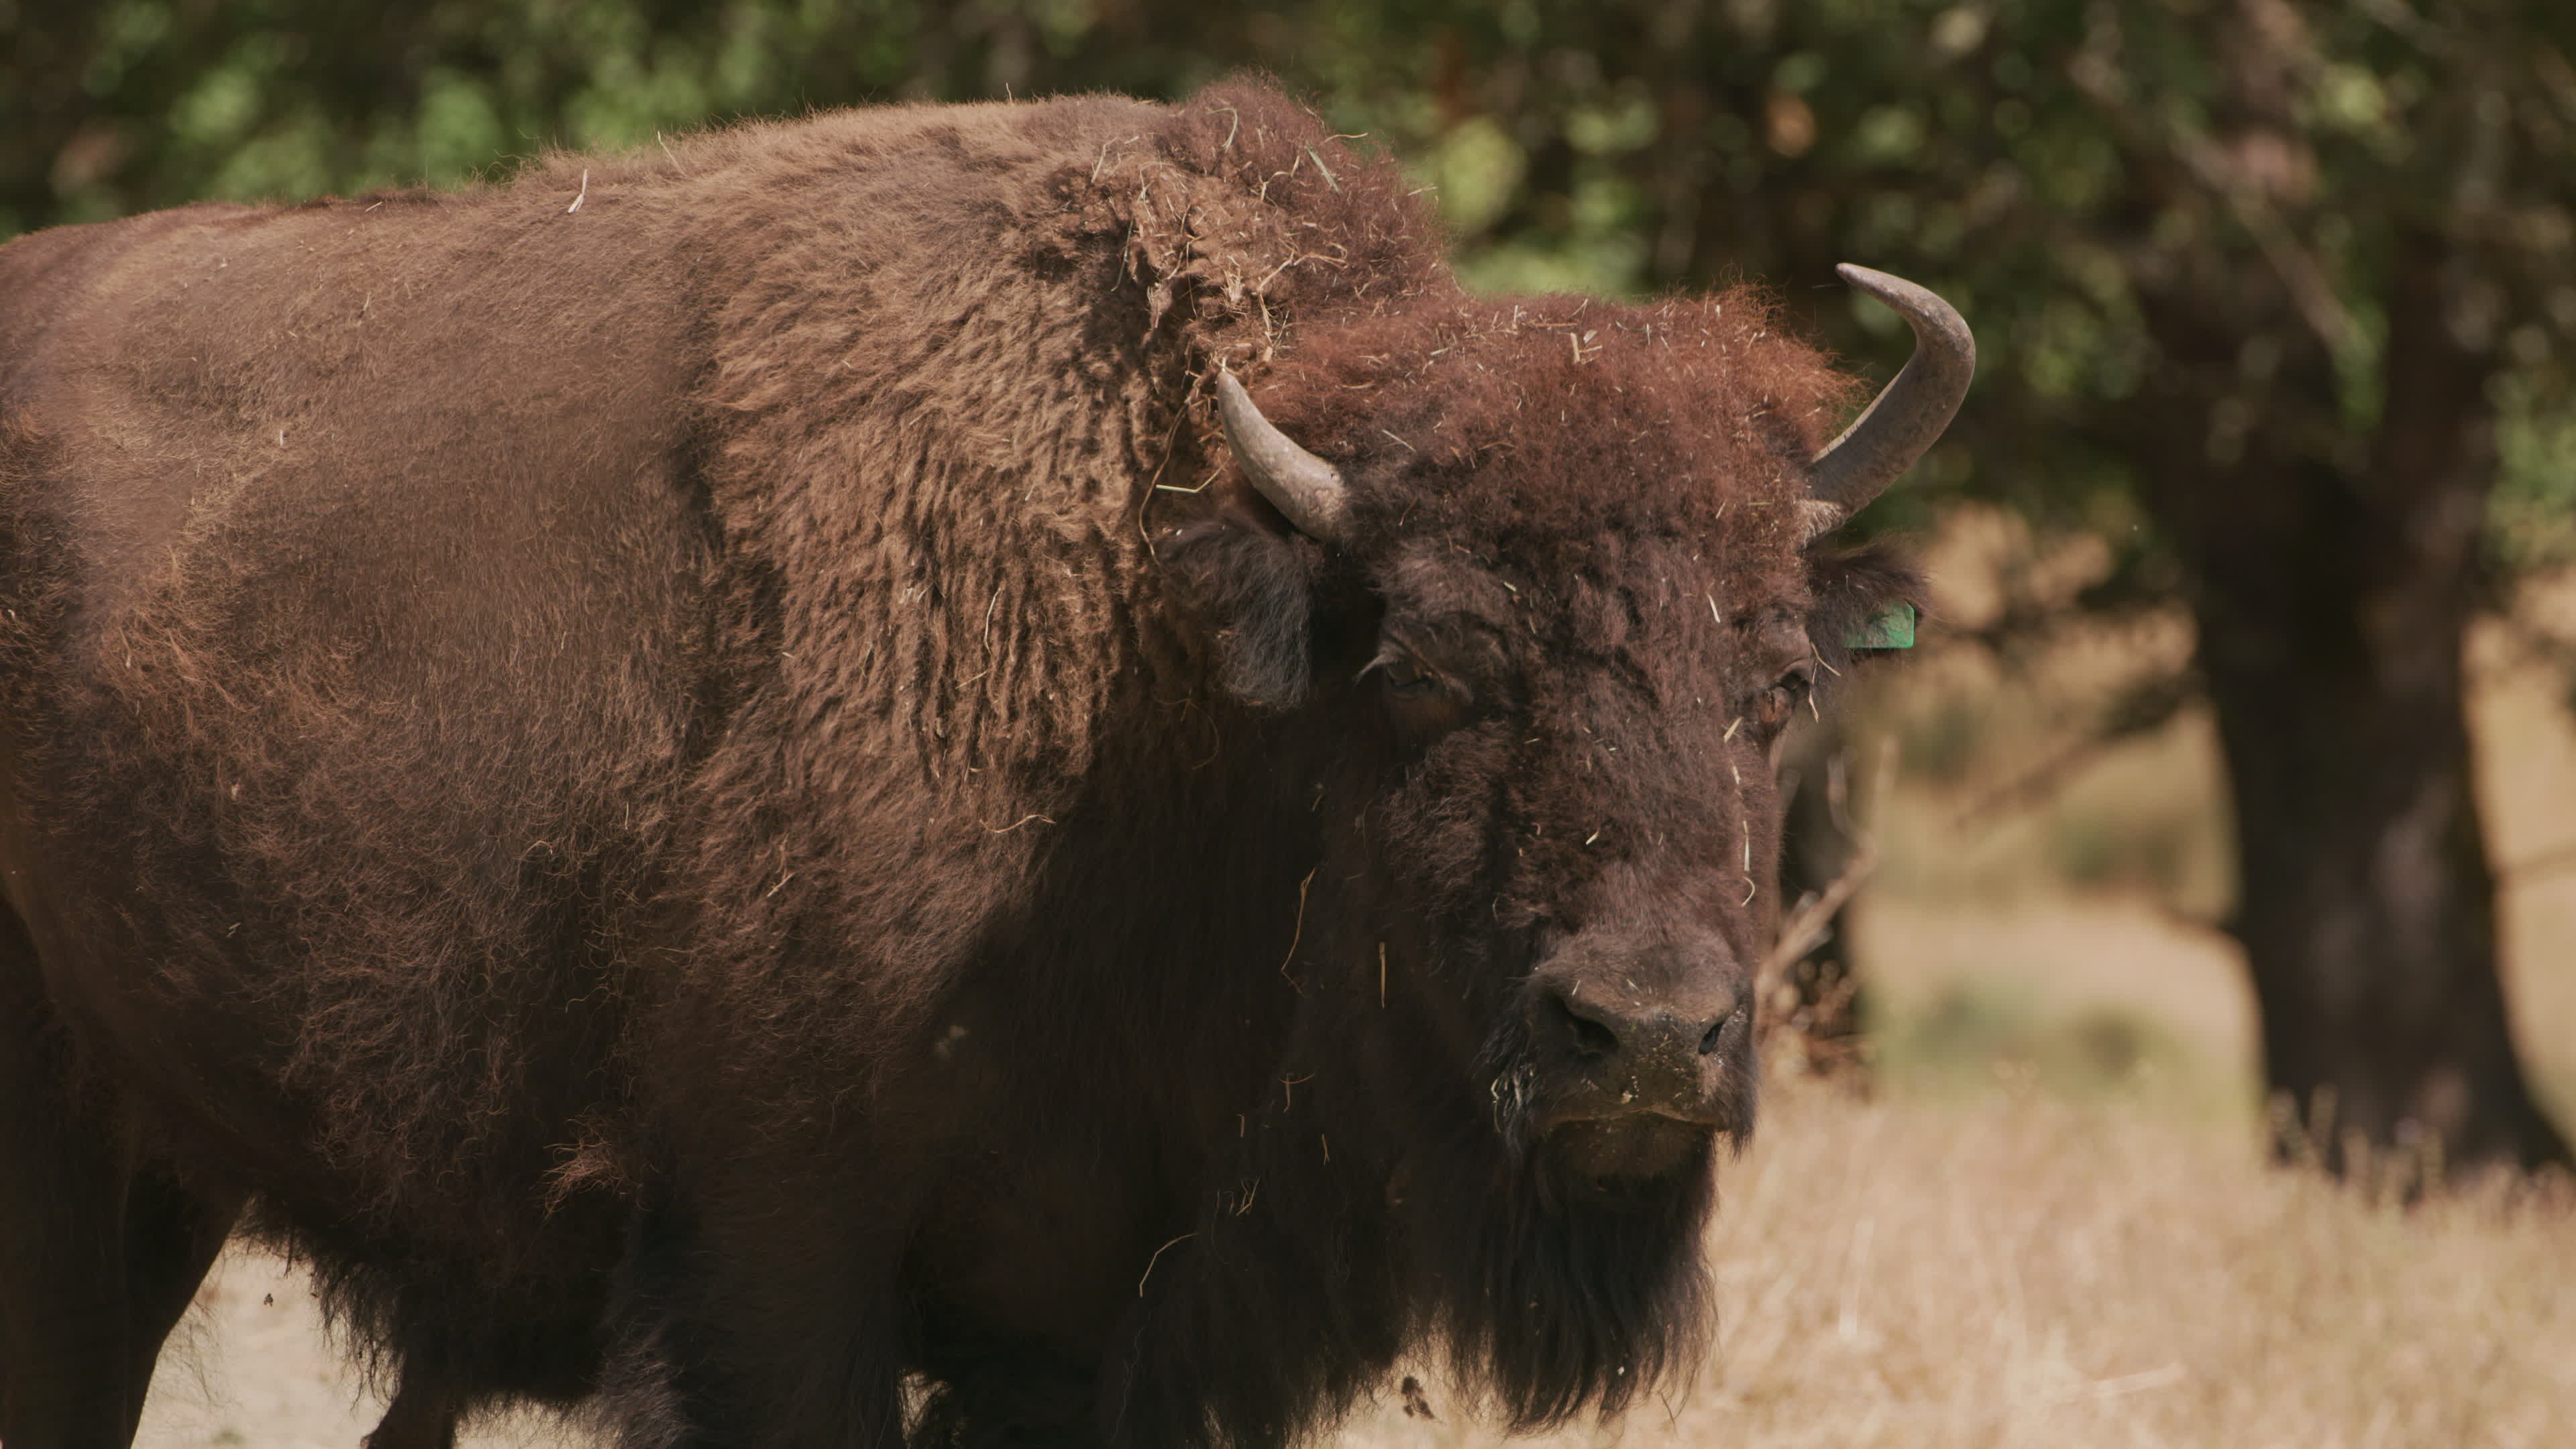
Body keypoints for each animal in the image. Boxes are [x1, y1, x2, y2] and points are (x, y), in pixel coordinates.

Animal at [0, 84, 1957, 1433]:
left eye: (1779, 680)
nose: (1645, 1037)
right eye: (1418, 670)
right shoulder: (777, 1259)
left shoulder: (1095, 1319)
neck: (1154, 661)